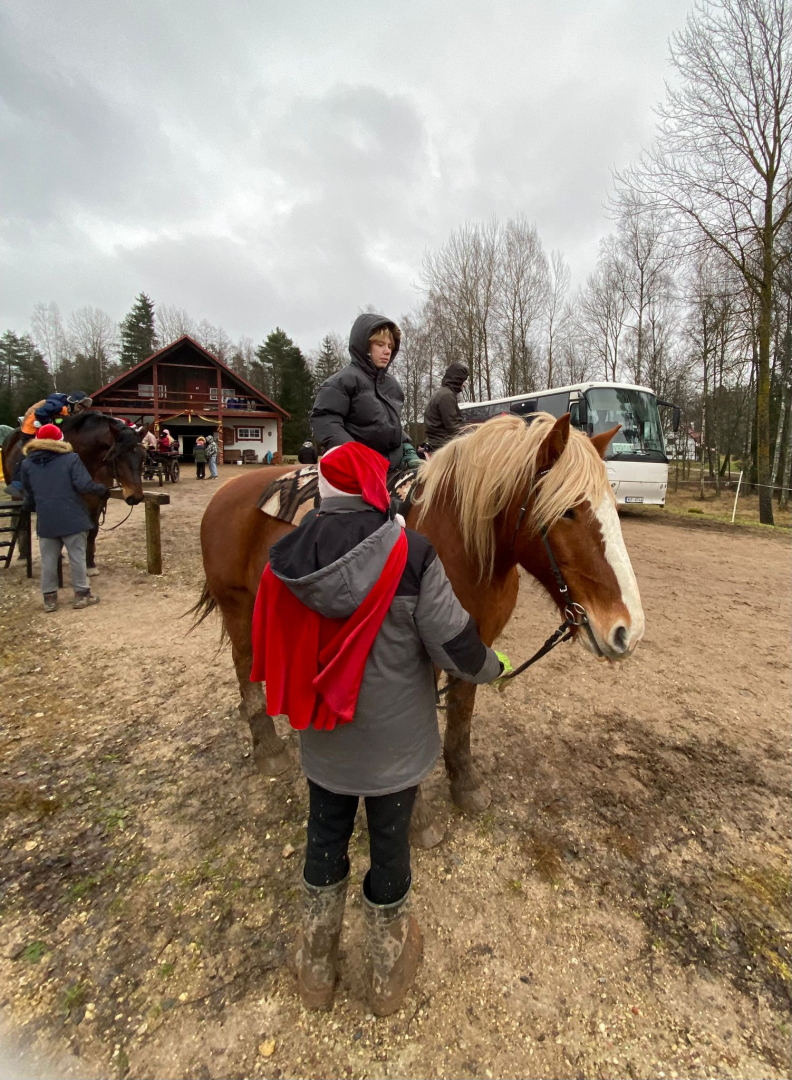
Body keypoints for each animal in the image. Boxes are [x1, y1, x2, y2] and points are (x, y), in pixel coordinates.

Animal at [196, 412, 643, 842]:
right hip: (237, 606)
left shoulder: (473, 644)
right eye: (568, 510)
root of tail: (225, 493)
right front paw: (418, 819)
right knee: (244, 665)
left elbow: (461, 716)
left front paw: (466, 785)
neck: (458, 546)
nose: (628, 630)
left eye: (613, 507)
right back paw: (268, 746)